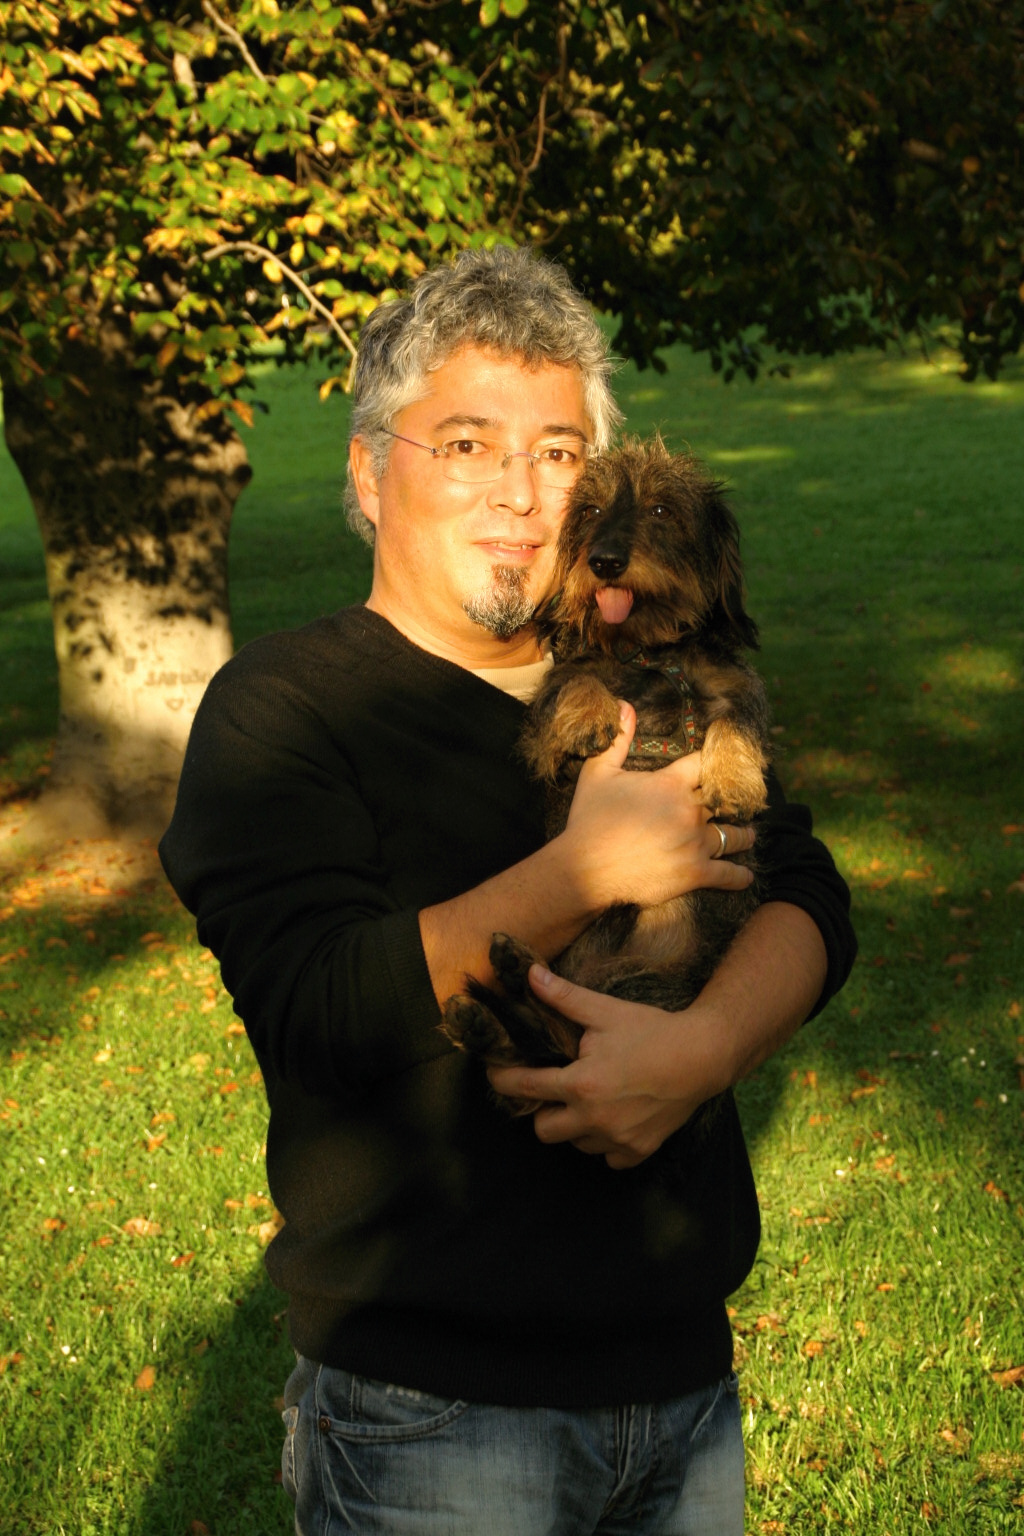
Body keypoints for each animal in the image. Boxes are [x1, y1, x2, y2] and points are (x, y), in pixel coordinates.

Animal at [441, 438, 771, 1122]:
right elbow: (574, 680)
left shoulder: (736, 690)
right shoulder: (551, 724)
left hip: (658, 988)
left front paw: (733, 779)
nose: (605, 561)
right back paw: (497, 1002)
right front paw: (592, 714)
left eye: (663, 509)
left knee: (556, 1044)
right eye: (589, 510)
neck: (650, 656)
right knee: (547, 1050)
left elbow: (737, 718)